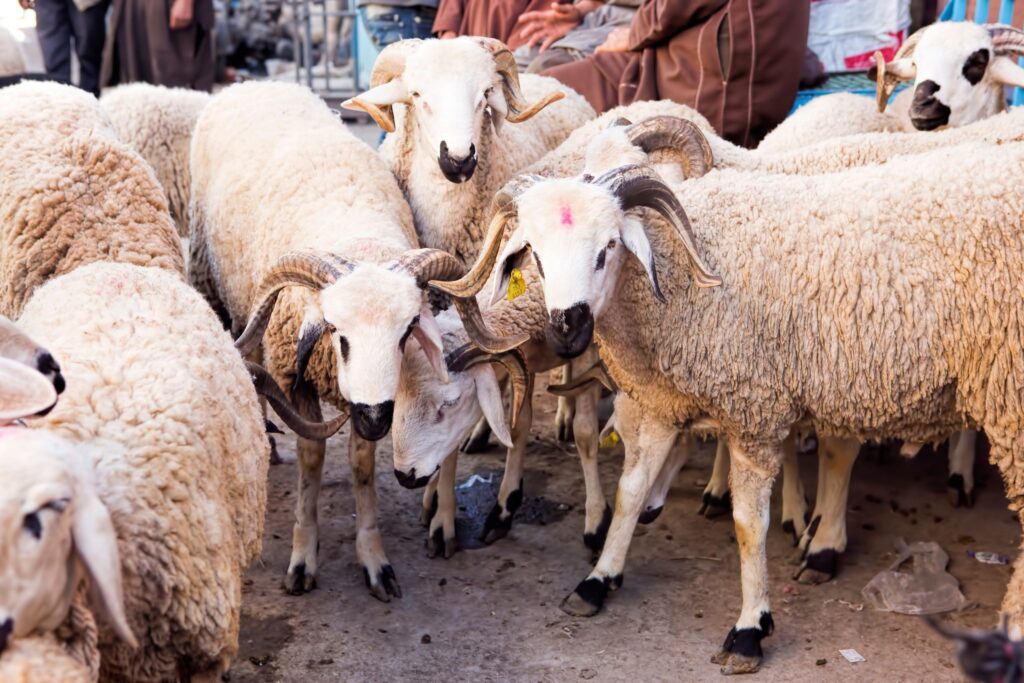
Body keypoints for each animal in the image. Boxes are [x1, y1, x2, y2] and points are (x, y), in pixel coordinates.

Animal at [189, 80, 523, 599]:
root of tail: (257, 82)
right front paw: (303, 556)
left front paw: (374, 558)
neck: (359, 240)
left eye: (406, 332)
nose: (374, 416)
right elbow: (311, 461)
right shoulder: (296, 378)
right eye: (336, 333)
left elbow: (363, 466)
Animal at [434, 129, 1024, 672]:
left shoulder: (754, 412)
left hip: (1007, 396)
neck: (681, 274)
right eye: (534, 252)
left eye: (608, 247)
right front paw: (599, 578)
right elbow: (629, 491)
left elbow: (747, 524)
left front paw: (749, 628)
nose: (567, 326)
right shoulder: (663, 402)